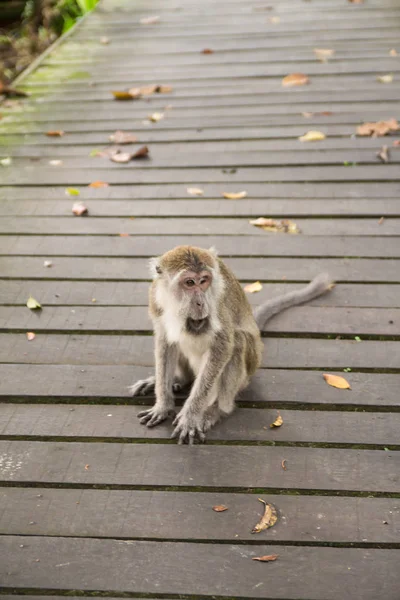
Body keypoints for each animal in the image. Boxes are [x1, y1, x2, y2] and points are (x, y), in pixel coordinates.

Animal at [130, 245, 332, 446]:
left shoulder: (218, 305)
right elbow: (165, 342)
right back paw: (180, 379)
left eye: (203, 281)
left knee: (238, 342)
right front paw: (163, 405)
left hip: (246, 372)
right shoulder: (155, 297)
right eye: (189, 282)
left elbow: (223, 346)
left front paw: (191, 416)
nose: (200, 302)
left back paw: (217, 410)